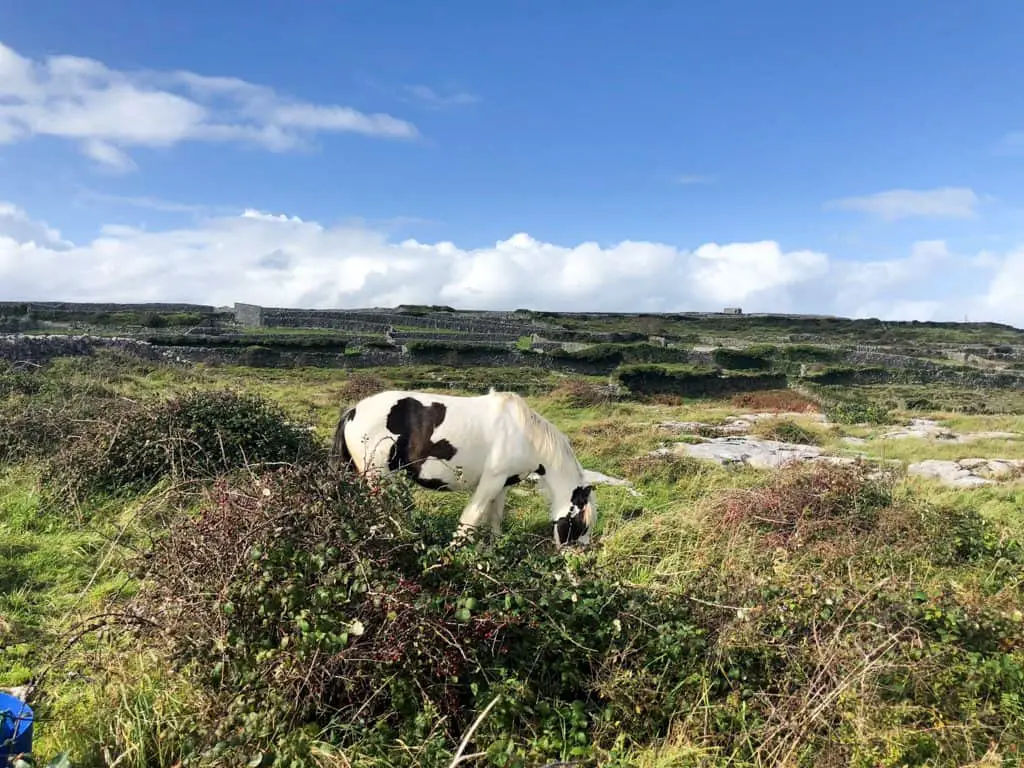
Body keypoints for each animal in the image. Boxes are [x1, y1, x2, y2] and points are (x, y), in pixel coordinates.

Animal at [327, 391, 598, 548]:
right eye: (580, 523)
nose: (578, 560)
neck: (525, 434)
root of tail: (352, 411)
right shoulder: (490, 482)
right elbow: (470, 521)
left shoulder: (503, 484)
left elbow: (495, 519)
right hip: (378, 479)